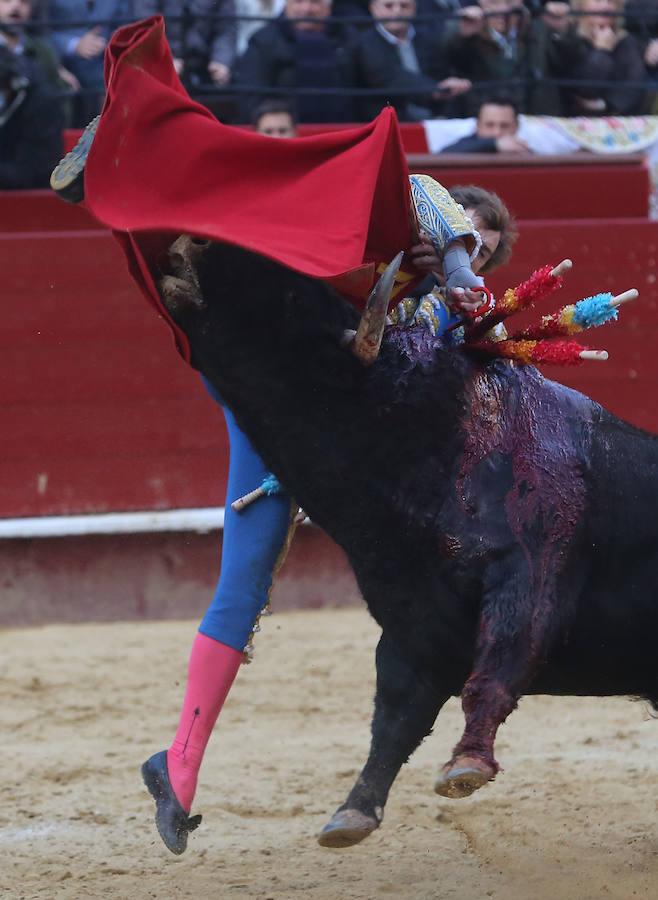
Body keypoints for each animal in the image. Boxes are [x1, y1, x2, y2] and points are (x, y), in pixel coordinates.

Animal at [159, 236, 656, 848]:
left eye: (296, 295)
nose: (188, 242)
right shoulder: (411, 622)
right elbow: (395, 714)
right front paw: (353, 813)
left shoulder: (534, 568)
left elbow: (500, 660)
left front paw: (466, 764)